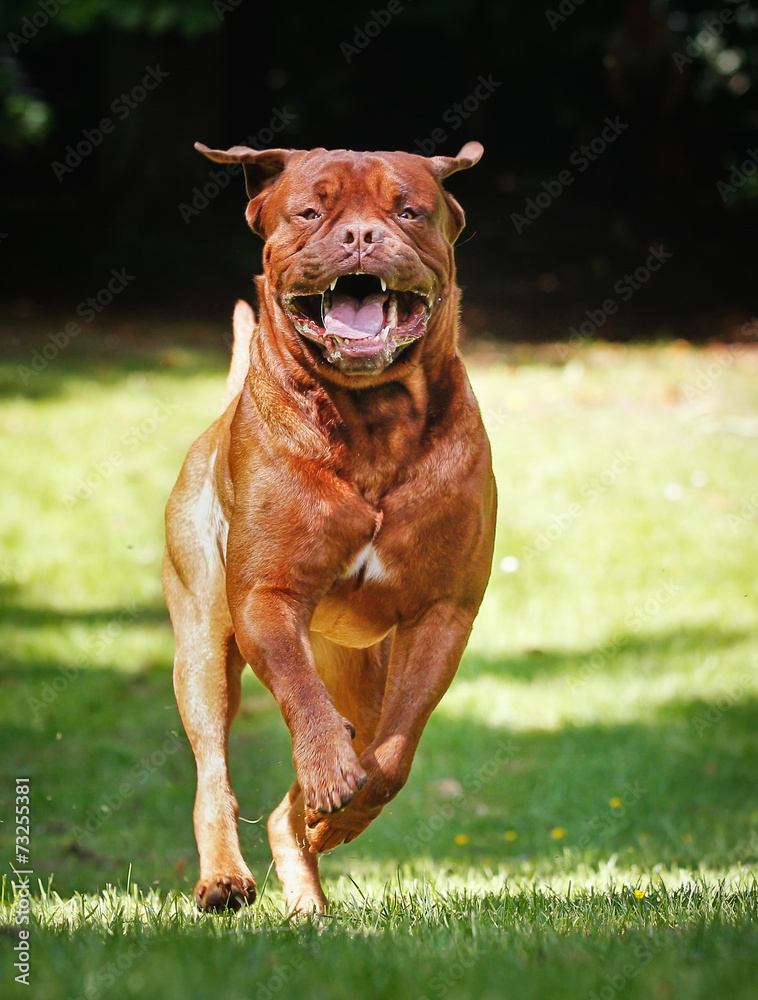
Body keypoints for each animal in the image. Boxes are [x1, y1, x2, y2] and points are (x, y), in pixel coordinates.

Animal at [163, 141, 498, 916]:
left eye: (408, 210)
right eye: (310, 212)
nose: (362, 235)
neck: (371, 419)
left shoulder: (443, 613)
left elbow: (393, 755)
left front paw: (338, 811)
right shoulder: (266, 598)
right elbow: (301, 700)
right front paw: (326, 771)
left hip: (362, 673)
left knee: (314, 785)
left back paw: (310, 874)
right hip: (203, 646)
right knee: (213, 769)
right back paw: (224, 877)